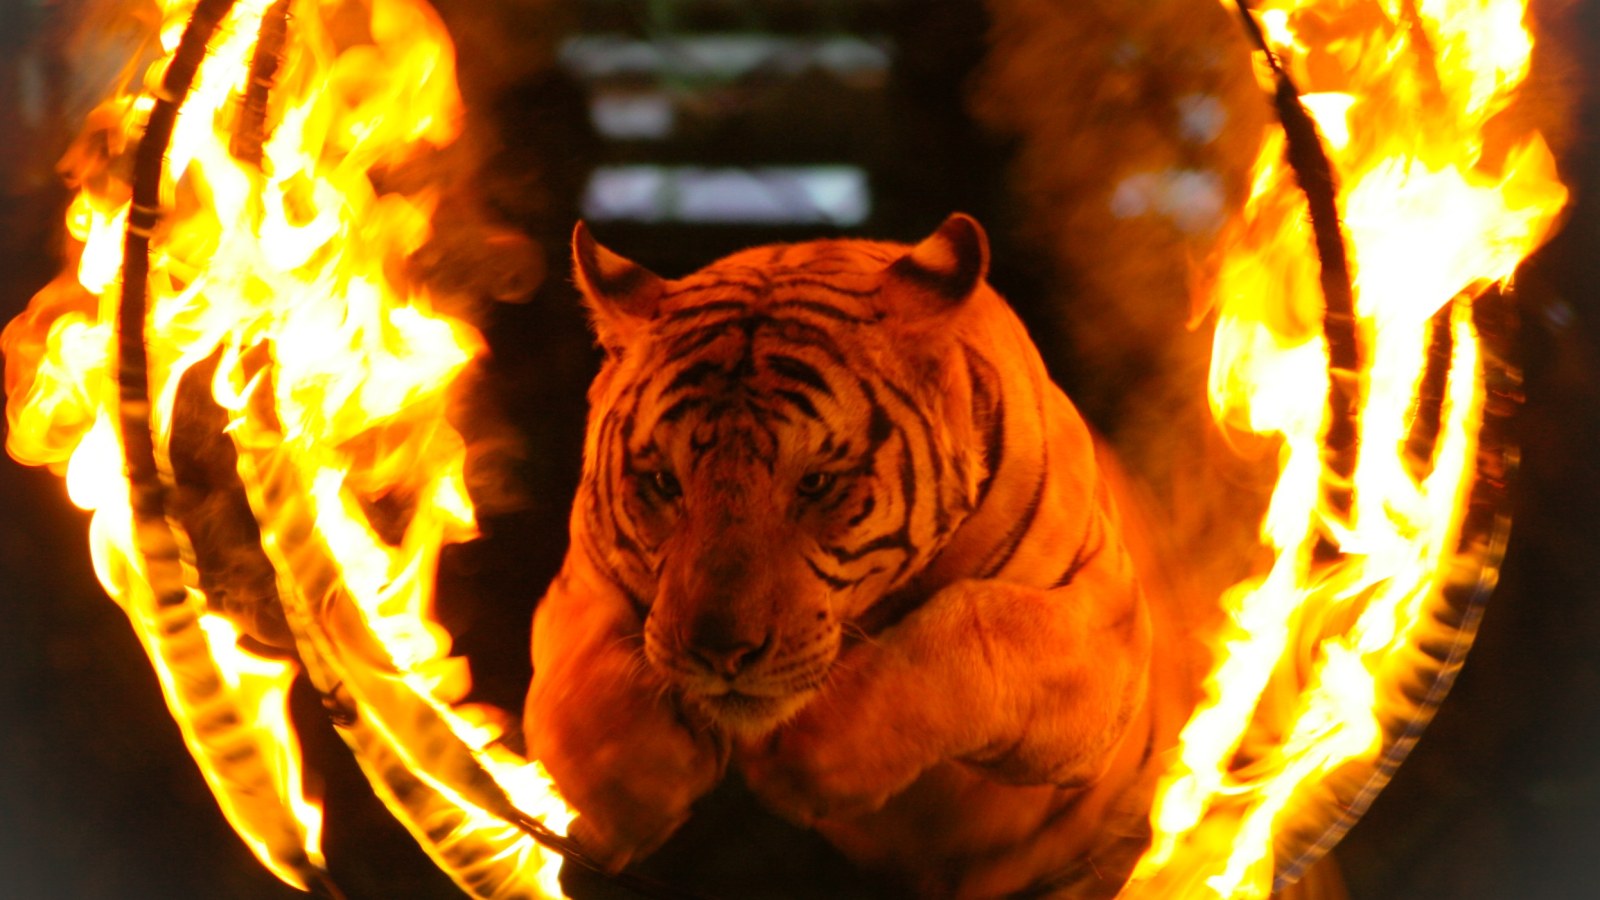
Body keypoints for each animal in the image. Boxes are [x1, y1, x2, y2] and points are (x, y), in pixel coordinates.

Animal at [522, 213, 1199, 898]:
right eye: (665, 481)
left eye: (815, 482)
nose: (720, 653)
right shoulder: (579, 584)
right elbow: (573, 690)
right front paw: (639, 780)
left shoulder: (1108, 623)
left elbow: (977, 626)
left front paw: (805, 754)